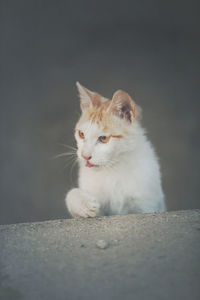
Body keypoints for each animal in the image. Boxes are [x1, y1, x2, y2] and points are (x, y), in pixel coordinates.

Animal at [65, 82, 166, 218]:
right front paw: (84, 204)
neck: (113, 168)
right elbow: (71, 194)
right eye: (81, 134)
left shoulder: (148, 206)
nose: (84, 155)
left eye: (103, 138)